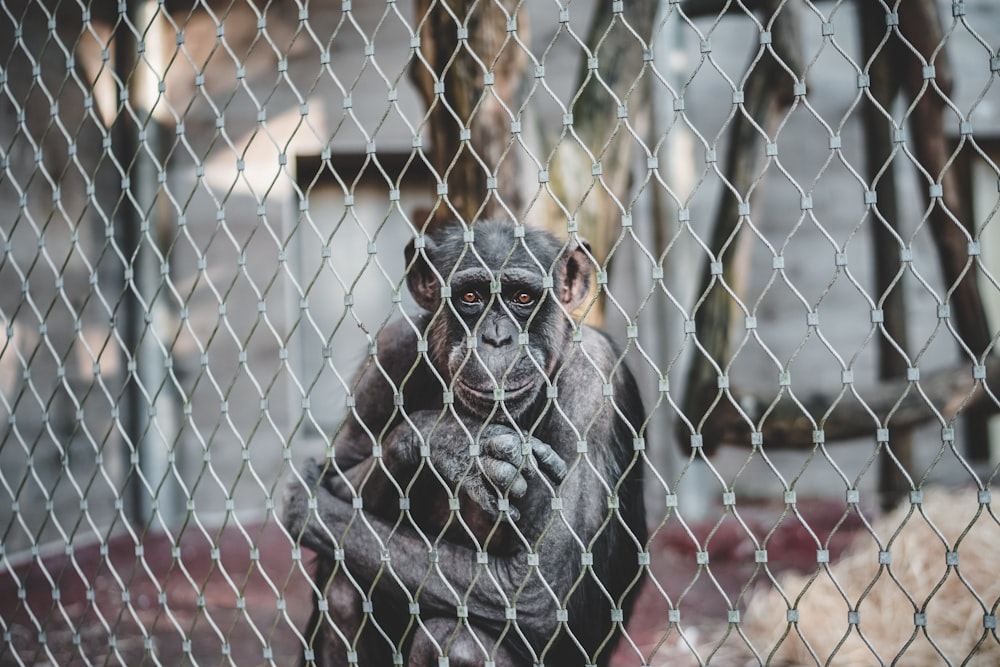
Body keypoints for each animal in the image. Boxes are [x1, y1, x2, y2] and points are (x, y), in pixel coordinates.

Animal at [284, 222, 648, 664]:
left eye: (522, 298)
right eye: (470, 297)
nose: (496, 338)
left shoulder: (592, 382)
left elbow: (538, 590)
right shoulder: (392, 348)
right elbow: (336, 469)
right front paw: (456, 444)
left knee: (456, 642)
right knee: (343, 588)